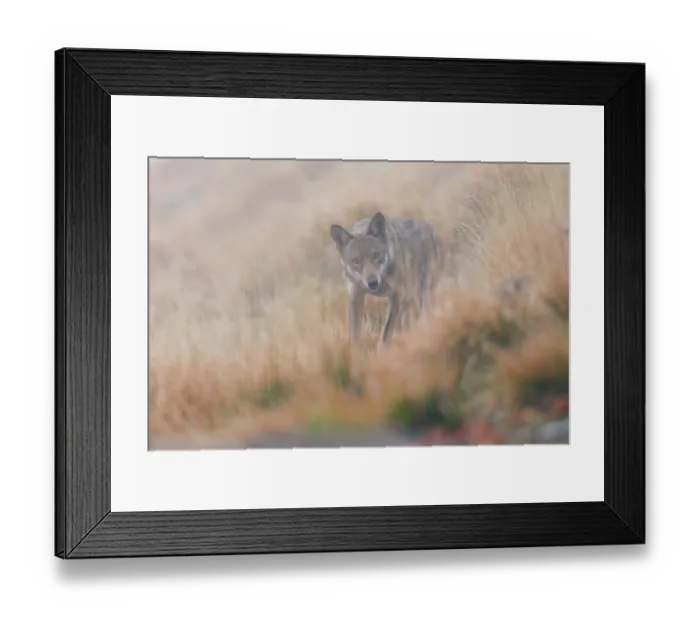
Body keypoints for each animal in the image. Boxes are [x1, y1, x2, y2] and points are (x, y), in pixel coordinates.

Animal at [330, 211, 444, 346]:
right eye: (355, 261)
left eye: (376, 255)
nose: (372, 283)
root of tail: (431, 229)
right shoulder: (355, 298)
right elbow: (354, 335)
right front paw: (353, 350)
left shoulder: (397, 295)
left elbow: (386, 332)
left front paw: (382, 350)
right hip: (409, 299)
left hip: (421, 295)